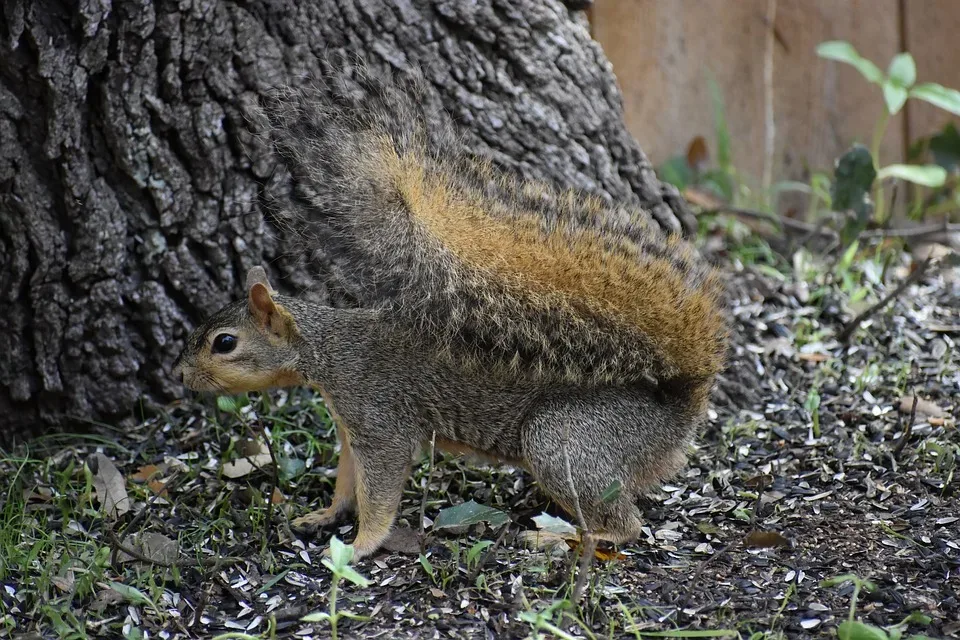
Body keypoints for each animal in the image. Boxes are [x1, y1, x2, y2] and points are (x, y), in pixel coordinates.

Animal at [172, 62, 728, 556]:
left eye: (225, 343)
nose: (180, 375)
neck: (328, 350)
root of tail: (676, 409)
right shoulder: (352, 430)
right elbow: (347, 480)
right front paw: (326, 515)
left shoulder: (380, 419)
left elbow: (381, 490)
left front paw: (359, 547)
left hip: (564, 439)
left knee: (624, 525)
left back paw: (558, 536)